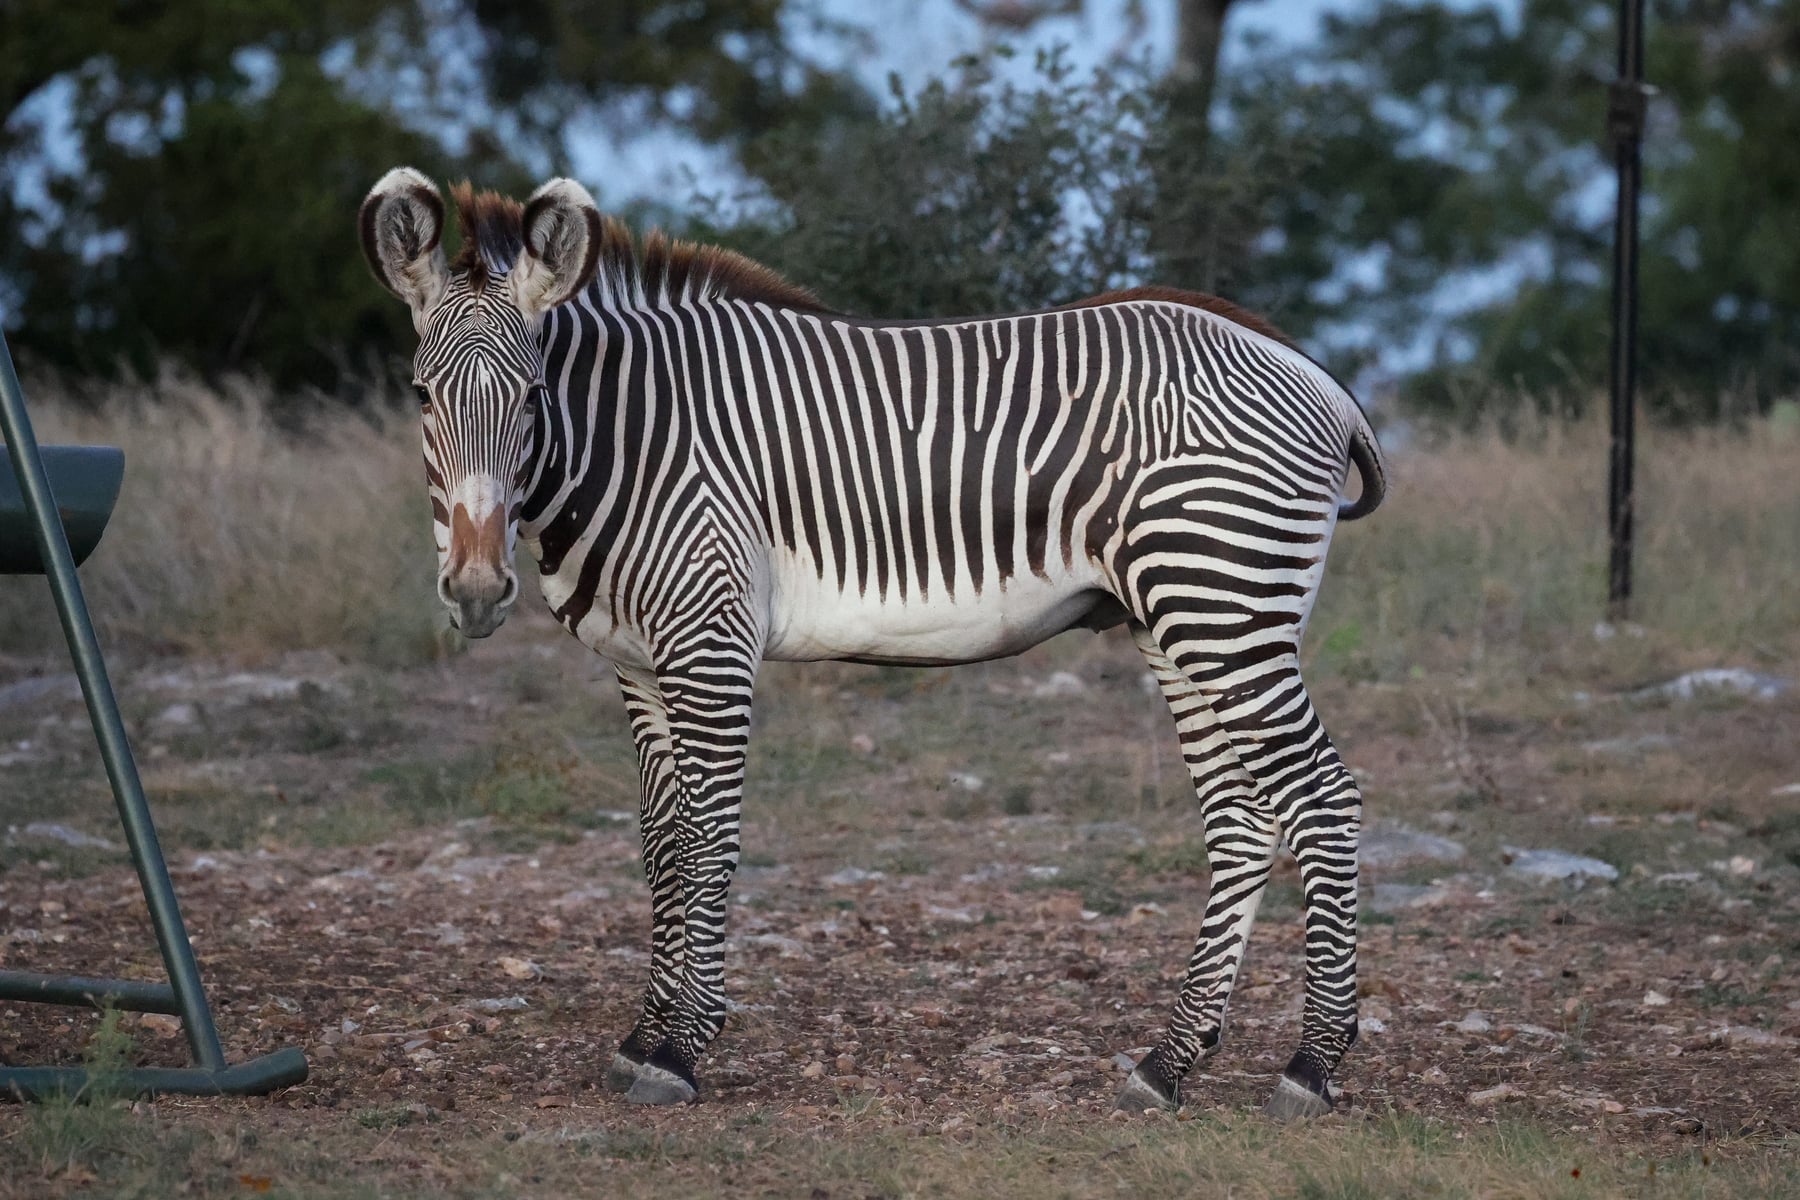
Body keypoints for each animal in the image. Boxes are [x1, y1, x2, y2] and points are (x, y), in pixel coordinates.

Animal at [359, 167, 1388, 1119]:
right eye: (420, 395)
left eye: (533, 395)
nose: (478, 592)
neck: (632, 440)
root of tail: (1313, 373)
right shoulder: (638, 663)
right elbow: (662, 841)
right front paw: (644, 1032)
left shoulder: (710, 641)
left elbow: (710, 836)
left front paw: (681, 1049)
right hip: (1176, 619)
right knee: (1244, 817)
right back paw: (1168, 1063)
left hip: (1224, 603)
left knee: (1323, 798)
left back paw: (1310, 1067)